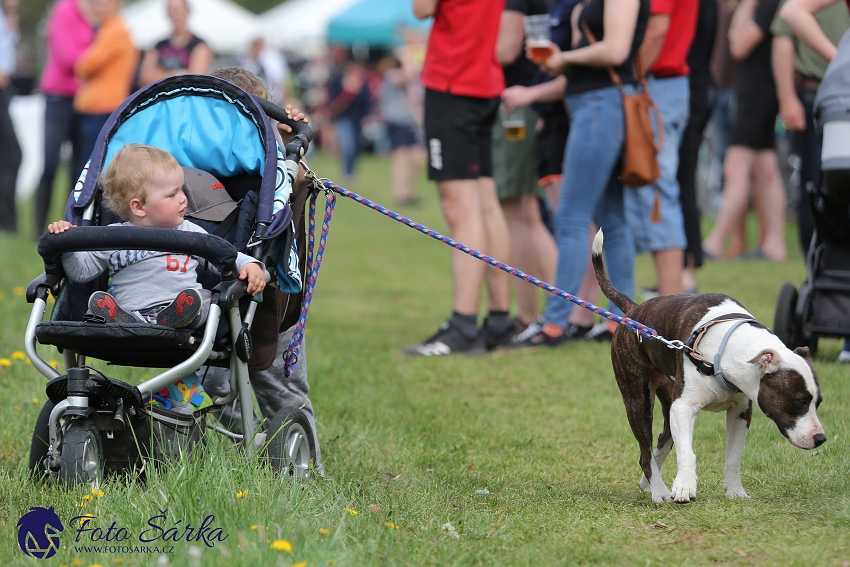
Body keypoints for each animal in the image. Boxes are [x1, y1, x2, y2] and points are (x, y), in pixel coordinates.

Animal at [588, 229, 820, 504]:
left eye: (818, 402)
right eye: (799, 402)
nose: (820, 438)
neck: (724, 351)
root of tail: (634, 312)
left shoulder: (740, 413)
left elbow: (733, 456)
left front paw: (735, 491)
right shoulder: (683, 408)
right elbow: (688, 452)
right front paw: (684, 487)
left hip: (667, 396)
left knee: (663, 440)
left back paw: (648, 482)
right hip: (638, 400)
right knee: (646, 451)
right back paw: (659, 491)